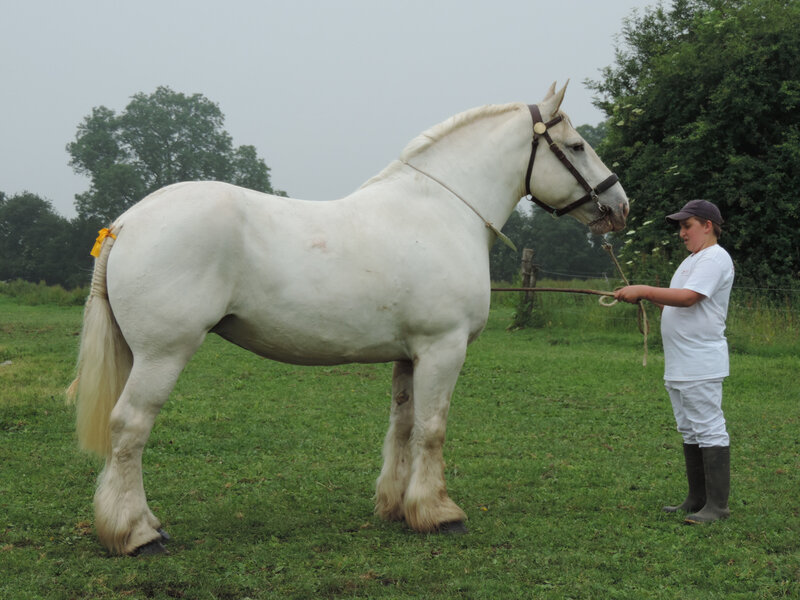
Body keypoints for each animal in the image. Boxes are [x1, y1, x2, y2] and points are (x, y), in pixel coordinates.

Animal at [69, 82, 628, 556]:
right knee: (129, 427)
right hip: (163, 354)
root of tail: (127, 222)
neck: (441, 212)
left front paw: (399, 508)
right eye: (576, 146)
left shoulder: (411, 354)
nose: (619, 205)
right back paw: (138, 535)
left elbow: (403, 426)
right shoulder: (443, 347)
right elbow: (433, 429)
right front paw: (440, 514)